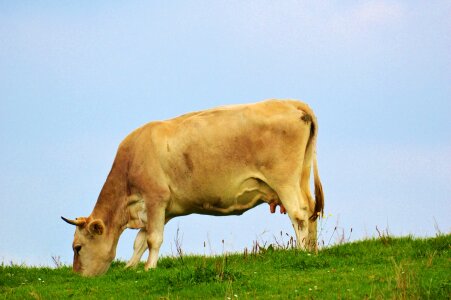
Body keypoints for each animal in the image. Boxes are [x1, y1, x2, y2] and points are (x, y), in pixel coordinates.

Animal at [62, 99, 324, 276]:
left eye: (77, 247)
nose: (78, 276)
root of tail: (291, 103)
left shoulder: (155, 199)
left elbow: (153, 239)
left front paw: (149, 268)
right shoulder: (160, 209)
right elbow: (140, 240)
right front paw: (130, 266)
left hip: (284, 180)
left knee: (299, 214)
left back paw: (302, 251)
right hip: (301, 176)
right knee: (311, 210)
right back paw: (313, 250)